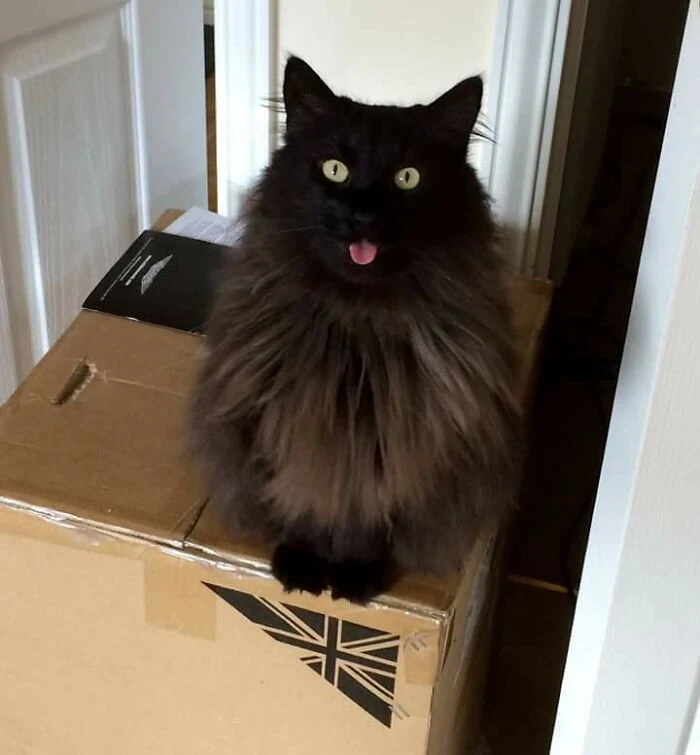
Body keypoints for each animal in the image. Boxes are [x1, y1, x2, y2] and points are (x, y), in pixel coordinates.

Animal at [191, 56, 521, 604]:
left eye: (408, 178)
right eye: (335, 170)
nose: (363, 215)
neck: (356, 330)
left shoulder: (395, 441)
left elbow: (365, 514)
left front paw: (353, 574)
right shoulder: (289, 424)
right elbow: (307, 498)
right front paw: (302, 563)